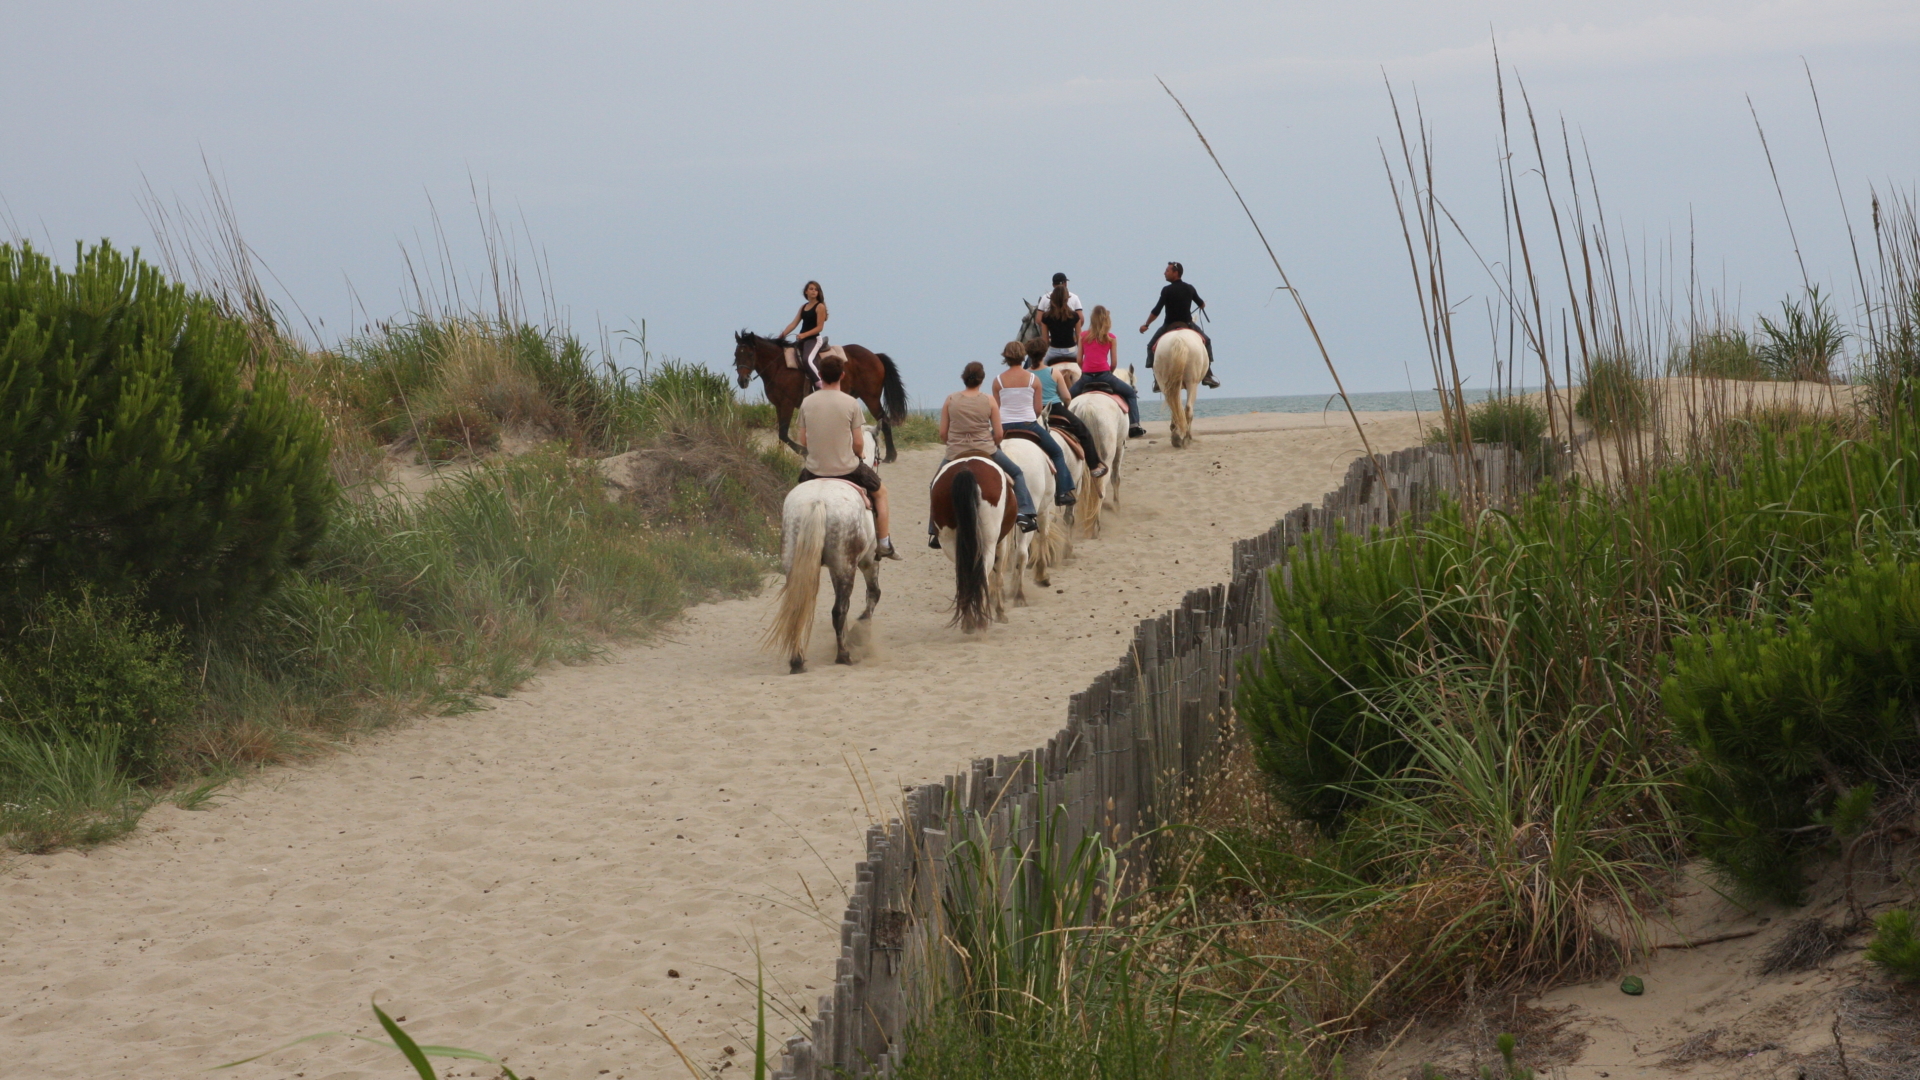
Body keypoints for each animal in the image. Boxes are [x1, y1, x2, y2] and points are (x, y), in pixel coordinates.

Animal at [733, 331, 908, 462]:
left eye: (750, 354)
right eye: (736, 354)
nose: (742, 381)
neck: (779, 366)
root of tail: (875, 356)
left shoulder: (787, 404)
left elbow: (783, 433)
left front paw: (804, 451)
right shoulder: (778, 405)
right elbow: (780, 435)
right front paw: (778, 455)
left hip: (871, 398)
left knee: (884, 420)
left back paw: (891, 456)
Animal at [763, 425, 883, 673]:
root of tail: (817, 501)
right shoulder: (868, 560)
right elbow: (873, 594)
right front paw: (858, 633)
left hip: (797, 562)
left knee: (798, 606)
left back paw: (797, 660)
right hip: (846, 567)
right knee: (839, 610)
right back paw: (844, 655)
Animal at [929, 456, 1019, 633]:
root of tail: (966, 470)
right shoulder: (1001, 542)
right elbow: (998, 576)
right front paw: (1000, 612)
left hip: (951, 543)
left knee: (965, 576)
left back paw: (968, 623)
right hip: (989, 543)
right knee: (982, 576)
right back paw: (981, 622)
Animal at [1067, 365, 1134, 539]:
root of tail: (1087, 407)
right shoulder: (1120, 446)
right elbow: (1116, 478)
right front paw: (1117, 508)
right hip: (1106, 456)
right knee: (1102, 487)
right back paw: (1095, 526)